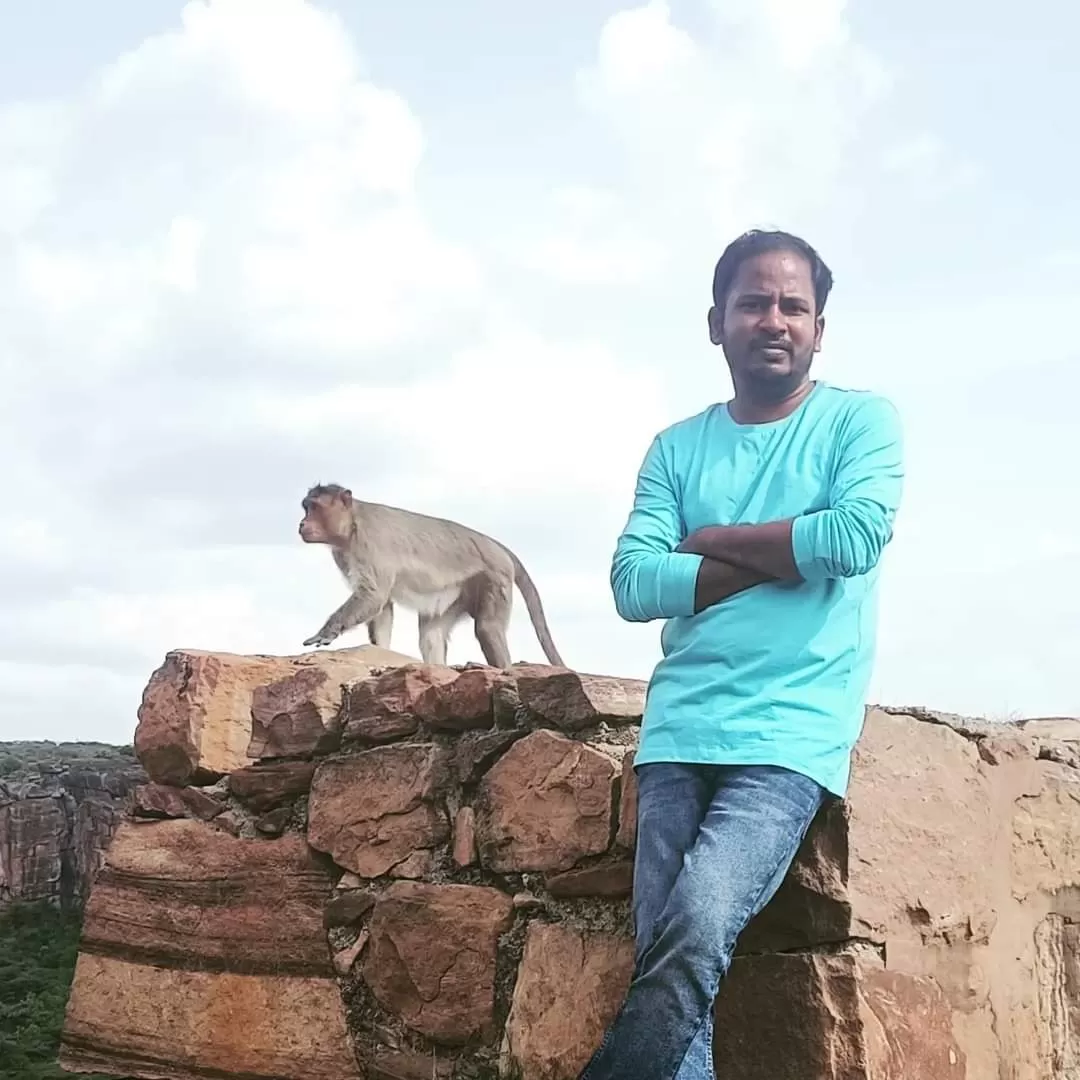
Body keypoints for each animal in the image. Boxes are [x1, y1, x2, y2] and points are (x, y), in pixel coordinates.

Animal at [295, 486, 565, 669]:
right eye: (306, 507)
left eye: (315, 508)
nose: (301, 523)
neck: (353, 522)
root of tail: (496, 546)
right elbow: (382, 606)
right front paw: (380, 653)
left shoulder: (369, 544)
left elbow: (374, 596)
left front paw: (327, 631)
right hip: (457, 593)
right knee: (431, 636)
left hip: (494, 577)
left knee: (487, 628)